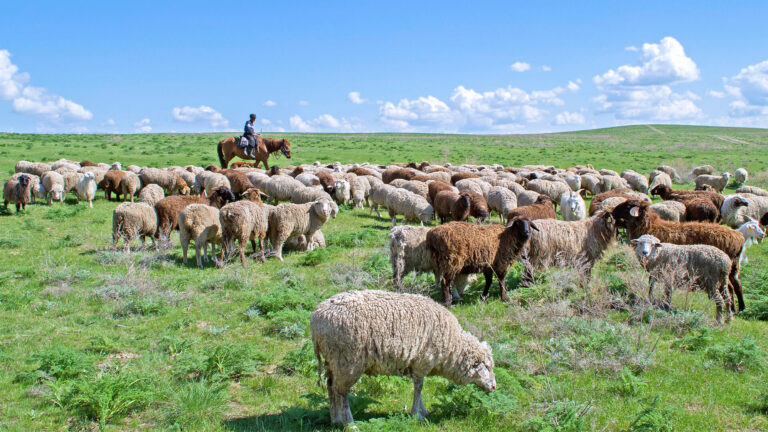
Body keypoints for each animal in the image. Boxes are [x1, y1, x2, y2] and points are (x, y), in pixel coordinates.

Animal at [312, 288, 498, 424]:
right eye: (487, 367)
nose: (494, 387)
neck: (452, 346)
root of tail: (316, 318)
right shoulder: (423, 361)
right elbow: (419, 387)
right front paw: (417, 414)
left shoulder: (418, 364)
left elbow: (420, 386)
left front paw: (423, 411)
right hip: (347, 360)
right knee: (341, 391)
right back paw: (349, 423)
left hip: (332, 359)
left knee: (330, 385)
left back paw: (335, 419)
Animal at [608, 199, 748, 314]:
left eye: (628, 205)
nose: (612, 212)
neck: (650, 227)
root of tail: (739, 238)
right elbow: (652, 285)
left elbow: (654, 286)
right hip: (733, 267)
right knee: (736, 285)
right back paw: (740, 308)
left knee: (729, 287)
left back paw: (732, 310)